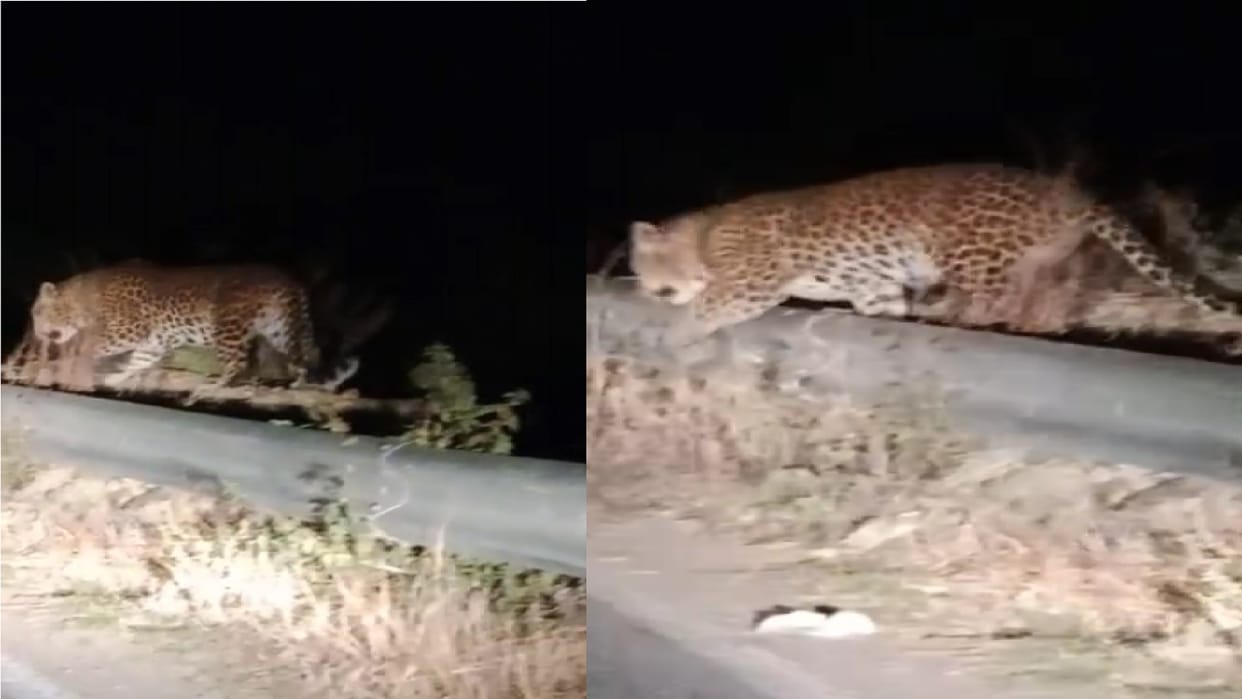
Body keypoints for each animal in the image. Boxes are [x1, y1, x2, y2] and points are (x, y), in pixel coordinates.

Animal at [25, 262, 360, 391]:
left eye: (38, 312)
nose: (39, 333)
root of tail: (289, 280)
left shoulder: (130, 328)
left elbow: (91, 343)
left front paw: (75, 359)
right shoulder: (152, 342)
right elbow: (137, 362)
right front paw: (115, 379)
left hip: (228, 326)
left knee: (238, 363)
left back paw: (216, 385)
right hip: (279, 327)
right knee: (307, 354)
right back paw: (300, 384)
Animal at [628, 162, 1240, 346]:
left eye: (641, 265)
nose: (643, 292)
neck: (704, 234)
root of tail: (1069, 193)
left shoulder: (755, 278)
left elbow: (713, 303)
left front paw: (676, 330)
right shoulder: (869, 282)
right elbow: (877, 300)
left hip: (971, 253)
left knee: (991, 303)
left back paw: (955, 320)